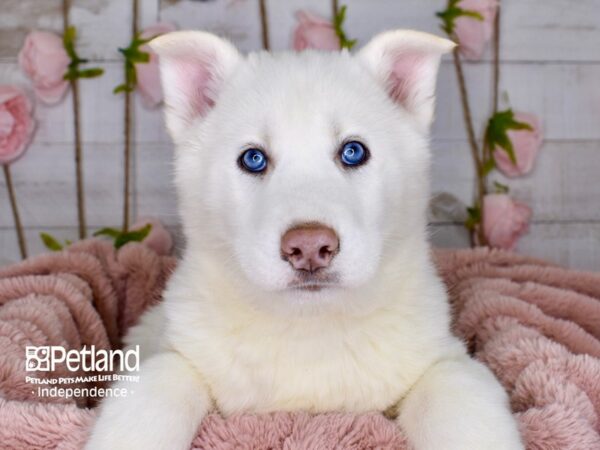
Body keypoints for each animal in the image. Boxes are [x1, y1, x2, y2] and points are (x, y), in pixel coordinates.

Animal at [86, 29, 524, 448]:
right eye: (253, 158)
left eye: (353, 152)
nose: (310, 247)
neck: (309, 328)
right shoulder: (172, 354)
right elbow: (155, 389)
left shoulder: (446, 360)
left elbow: (457, 404)